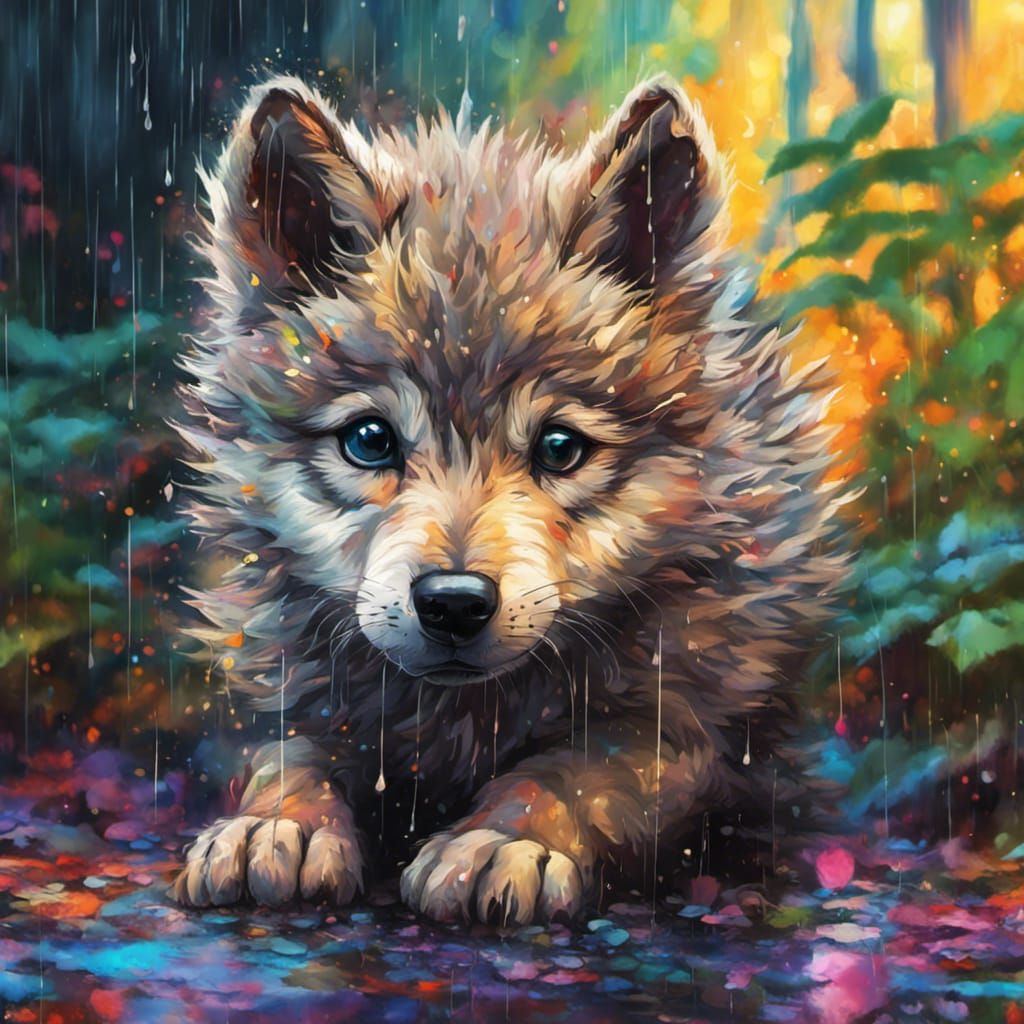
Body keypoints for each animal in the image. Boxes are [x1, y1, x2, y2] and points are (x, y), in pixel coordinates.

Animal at [170, 72, 847, 925]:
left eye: (559, 448)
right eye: (370, 440)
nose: (454, 603)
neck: (465, 720)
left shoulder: (689, 728)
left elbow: (577, 770)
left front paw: (502, 840)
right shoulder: (319, 701)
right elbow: (289, 754)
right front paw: (273, 825)